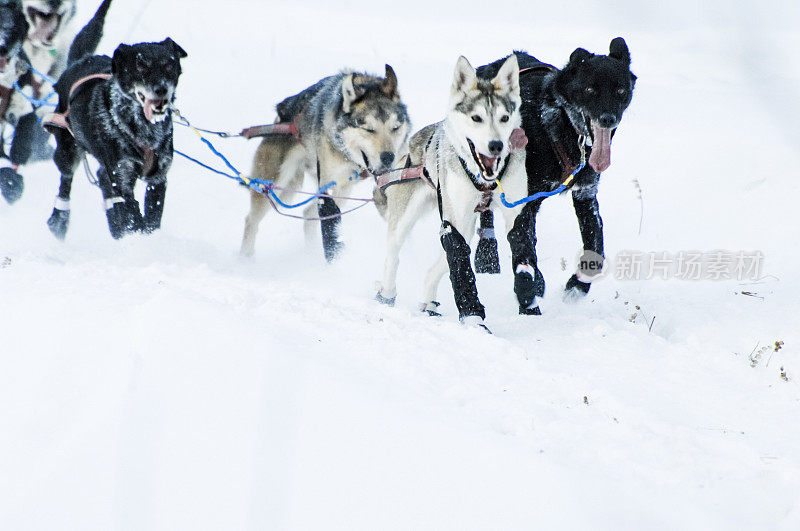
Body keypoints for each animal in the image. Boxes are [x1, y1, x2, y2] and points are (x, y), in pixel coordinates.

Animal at [45, 0, 188, 241]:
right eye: (141, 66)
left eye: (169, 65)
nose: (161, 89)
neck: (145, 129)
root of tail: (81, 61)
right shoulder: (121, 178)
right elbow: (134, 215)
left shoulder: (158, 178)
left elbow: (151, 219)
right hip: (66, 151)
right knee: (66, 181)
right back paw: (59, 219)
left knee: (103, 183)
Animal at [472, 39, 636, 314]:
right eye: (590, 89)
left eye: (620, 90)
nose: (607, 119)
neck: (556, 125)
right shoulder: (521, 201)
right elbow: (522, 249)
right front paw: (527, 296)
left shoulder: (585, 195)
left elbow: (596, 252)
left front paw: (577, 285)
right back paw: (487, 254)